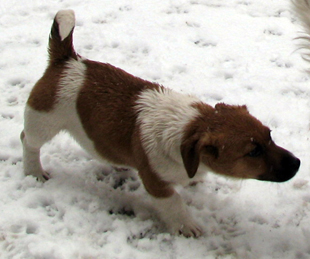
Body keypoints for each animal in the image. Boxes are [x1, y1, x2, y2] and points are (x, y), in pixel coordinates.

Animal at [20, 9, 300, 238]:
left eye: (270, 136)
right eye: (253, 152)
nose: (298, 163)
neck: (189, 126)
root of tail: (67, 60)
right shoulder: (156, 183)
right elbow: (174, 203)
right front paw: (187, 226)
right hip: (43, 122)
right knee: (29, 142)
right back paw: (34, 171)